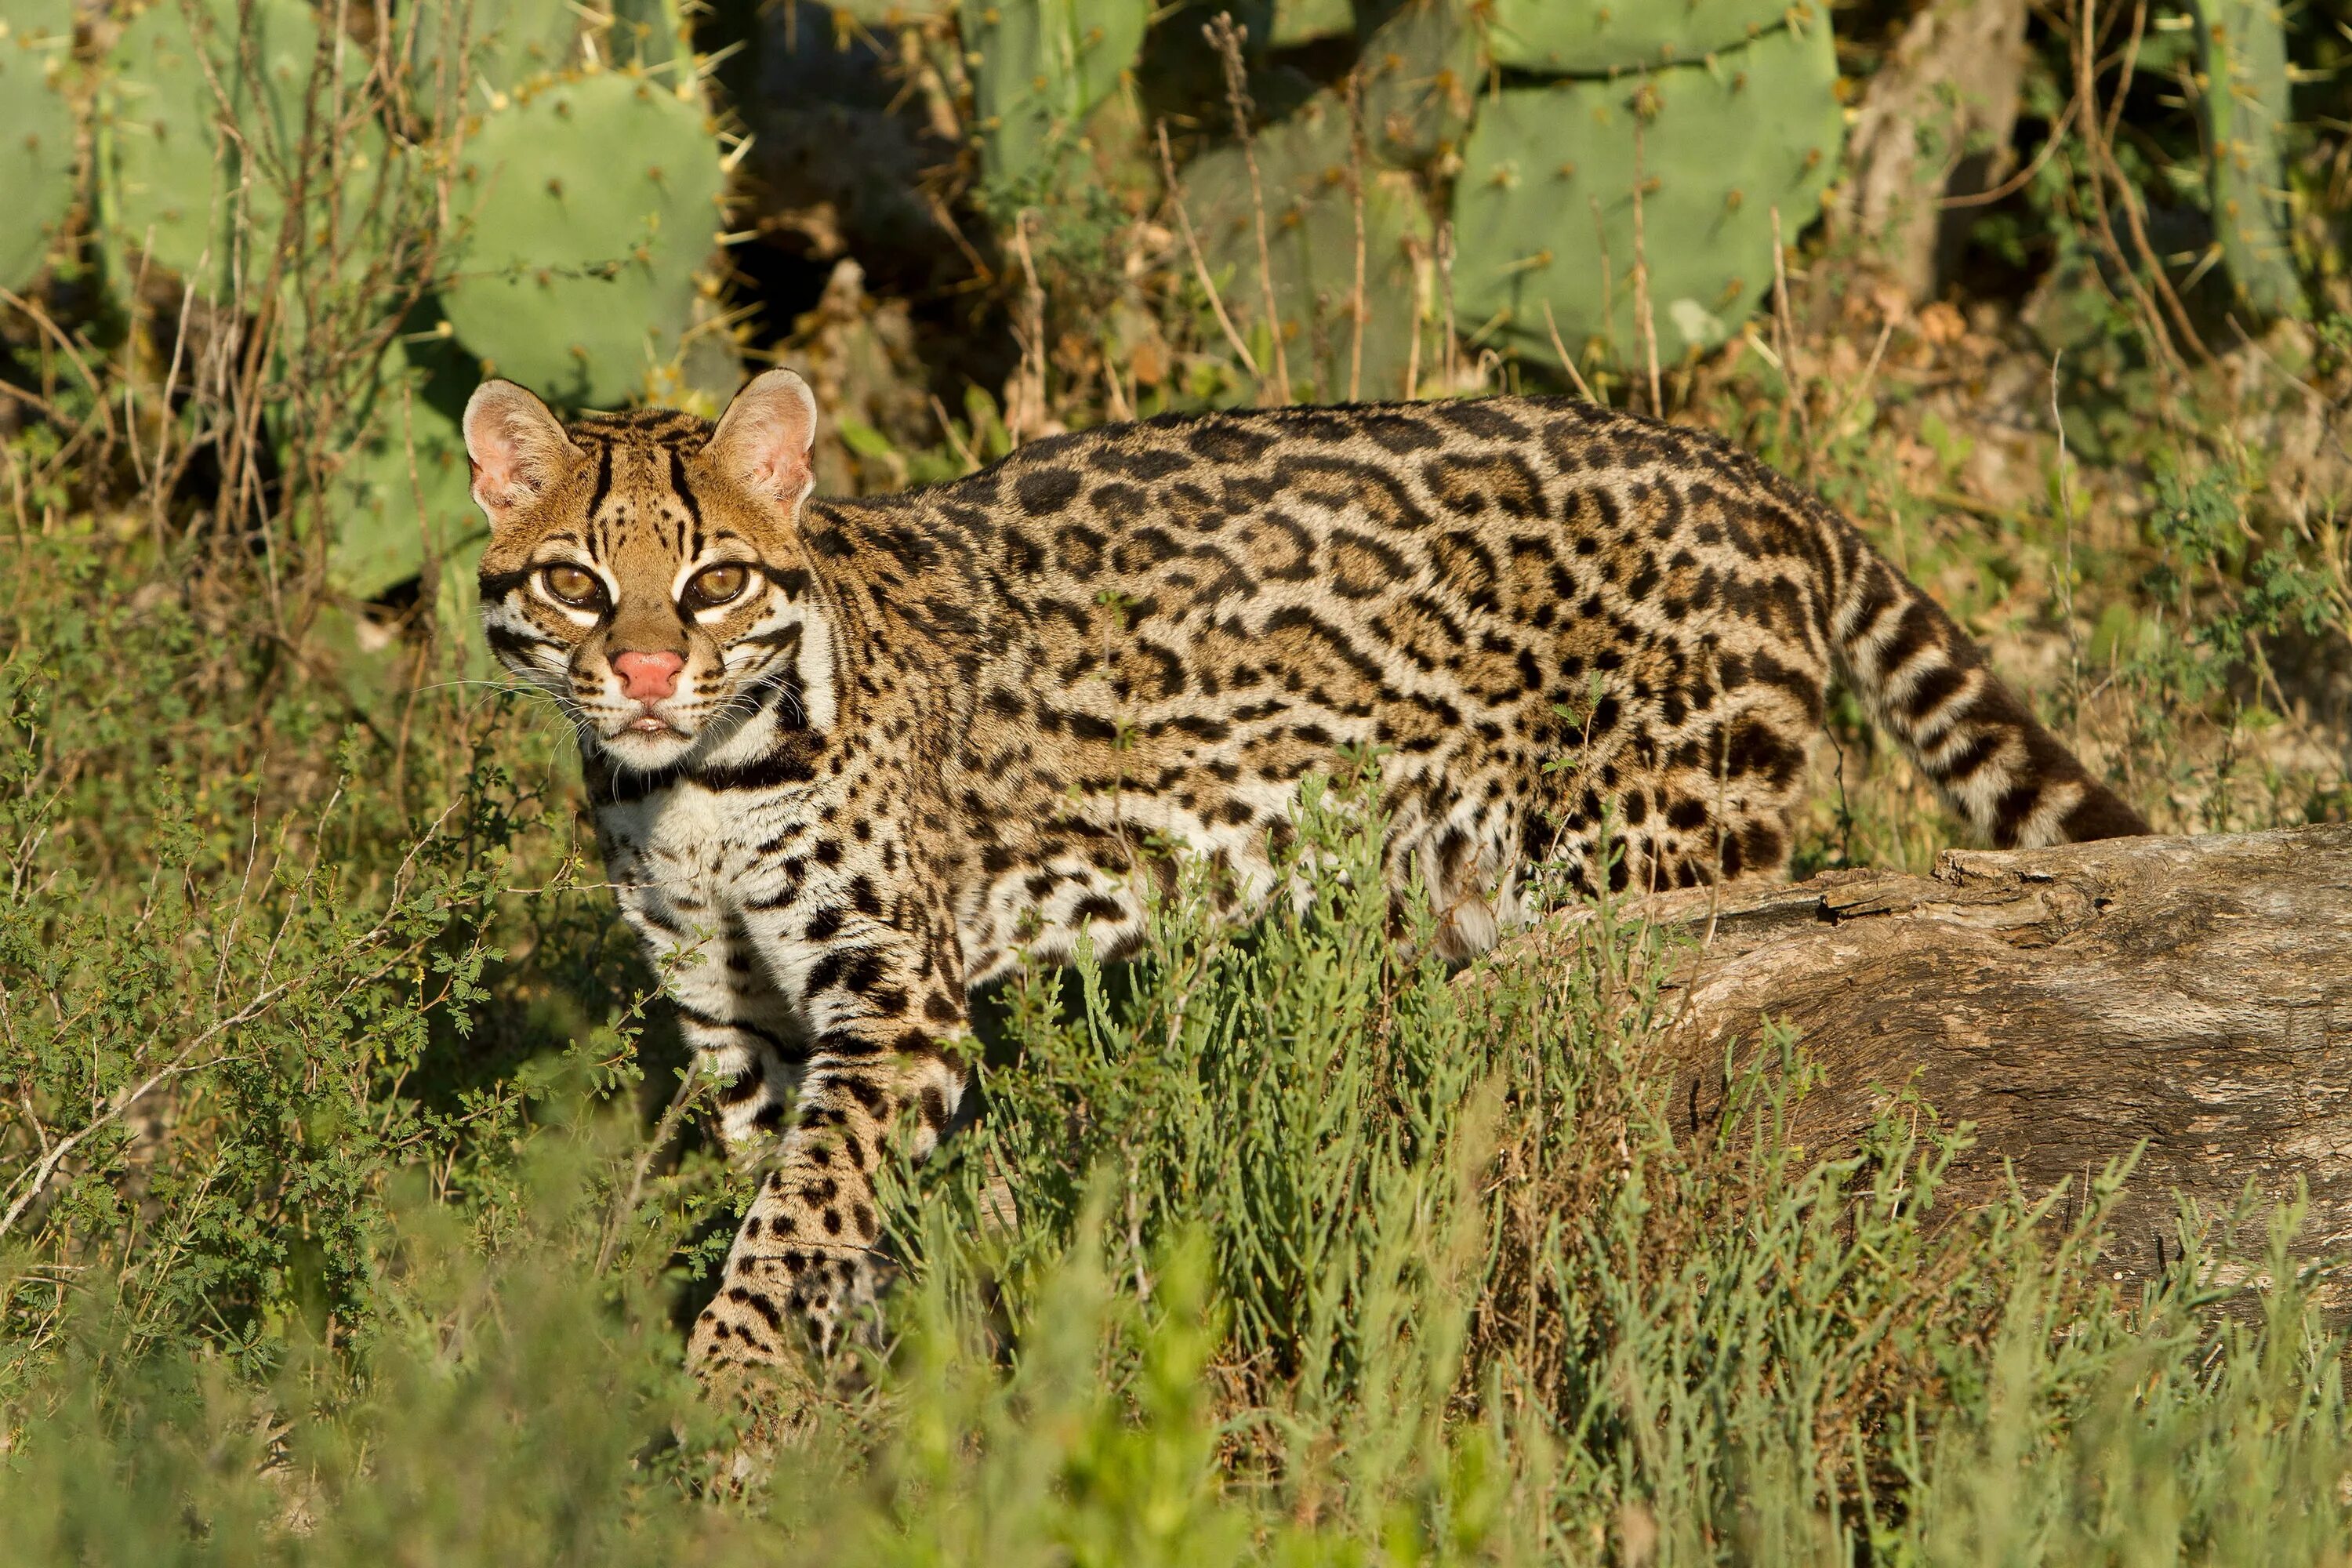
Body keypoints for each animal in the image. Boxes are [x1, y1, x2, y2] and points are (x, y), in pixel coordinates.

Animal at [459, 368, 2154, 1373]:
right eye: (576, 583)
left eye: (713, 582)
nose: (650, 673)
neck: (694, 788)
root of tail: (1751, 474)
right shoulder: (737, 1016)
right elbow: (806, 1201)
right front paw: (852, 1401)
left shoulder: (893, 995)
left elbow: (798, 1217)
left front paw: (731, 1399)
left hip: (1650, 878)